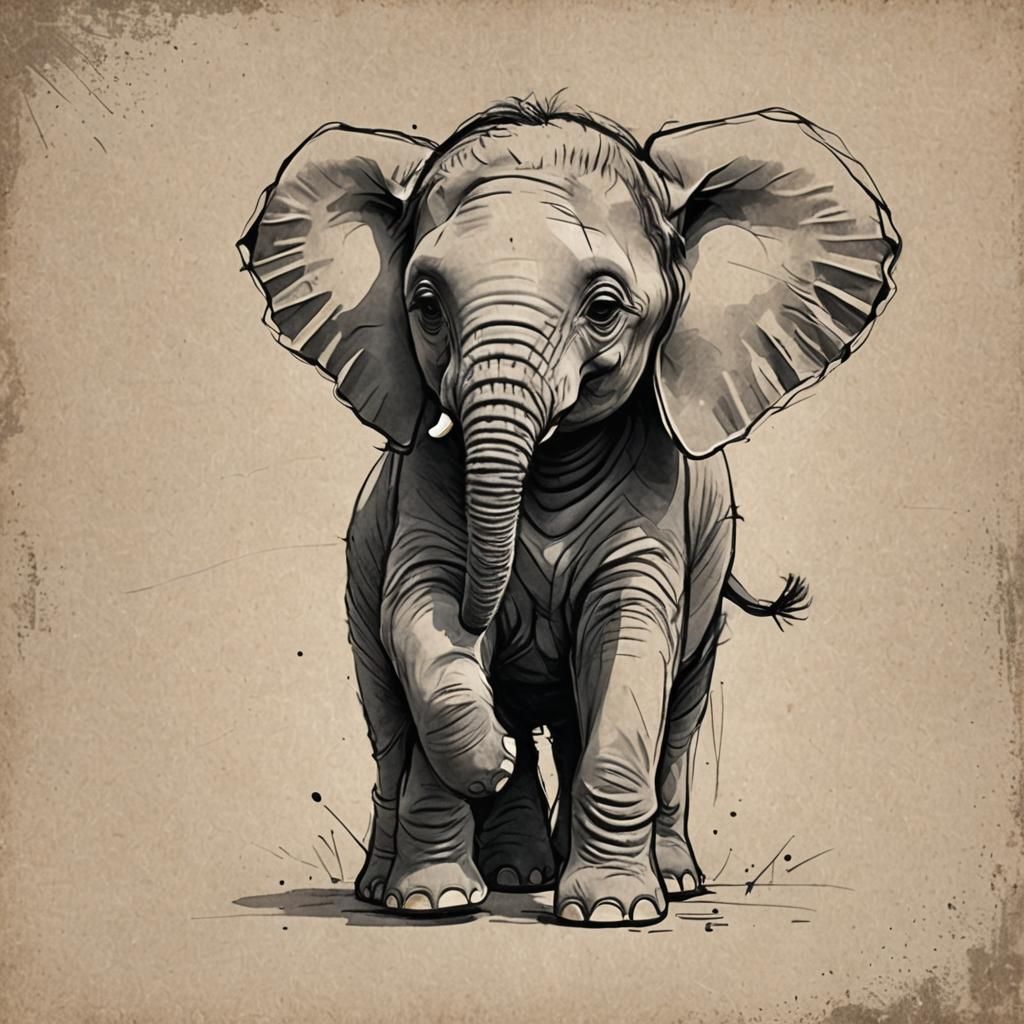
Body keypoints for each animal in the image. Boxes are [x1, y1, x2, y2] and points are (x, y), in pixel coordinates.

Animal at [237, 96, 899, 927]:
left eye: (606, 308)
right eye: (425, 306)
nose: (490, 615)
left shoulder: (657, 516)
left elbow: (629, 642)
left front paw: (613, 913)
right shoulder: (417, 499)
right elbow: (420, 616)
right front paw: (437, 897)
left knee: (673, 718)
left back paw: (667, 881)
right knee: (390, 719)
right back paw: (471, 878)